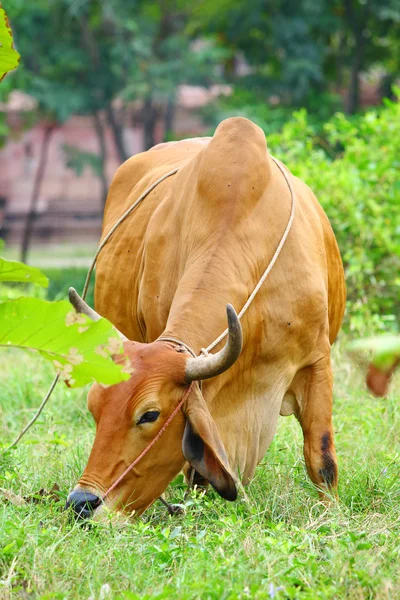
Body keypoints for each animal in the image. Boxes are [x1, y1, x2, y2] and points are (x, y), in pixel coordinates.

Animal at [66, 117, 346, 520]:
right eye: (93, 408)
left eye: (149, 415)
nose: (81, 503)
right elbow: (198, 468)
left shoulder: (317, 361)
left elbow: (321, 458)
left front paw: (331, 514)